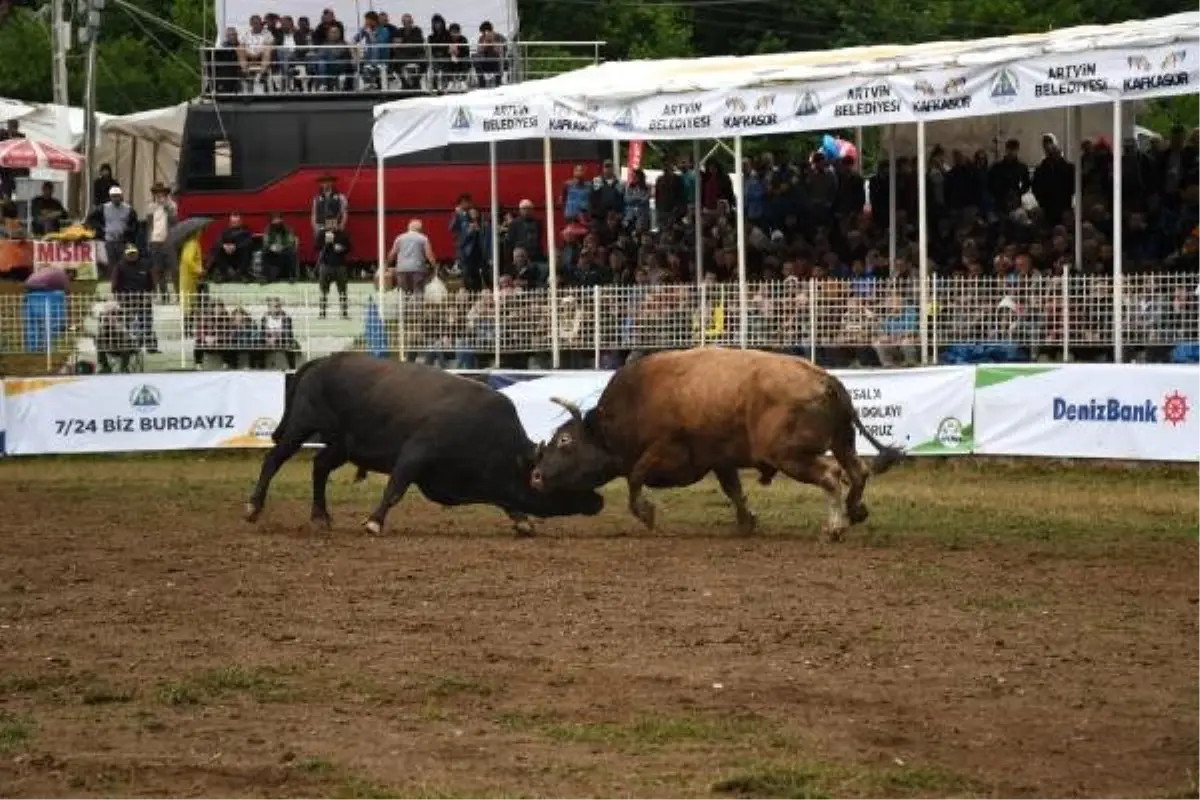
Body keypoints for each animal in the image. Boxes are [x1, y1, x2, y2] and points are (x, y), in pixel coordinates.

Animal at [243, 352, 604, 534]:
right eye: (548, 476)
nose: (598, 501)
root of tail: (321, 362)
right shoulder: (416, 453)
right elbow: (395, 488)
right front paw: (374, 521)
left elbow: (505, 501)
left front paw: (521, 520)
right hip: (301, 425)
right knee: (274, 459)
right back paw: (254, 507)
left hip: (341, 445)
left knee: (319, 467)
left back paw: (320, 516)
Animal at [530, 347, 902, 542]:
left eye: (564, 440)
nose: (535, 476)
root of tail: (825, 379)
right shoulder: (720, 460)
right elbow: (733, 490)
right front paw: (747, 520)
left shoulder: (665, 451)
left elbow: (635, 478)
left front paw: (646, 514)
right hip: (841, 441)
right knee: (858, 470)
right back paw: (855, 509)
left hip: (790, 455)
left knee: (831, 473)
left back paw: (834, 526)